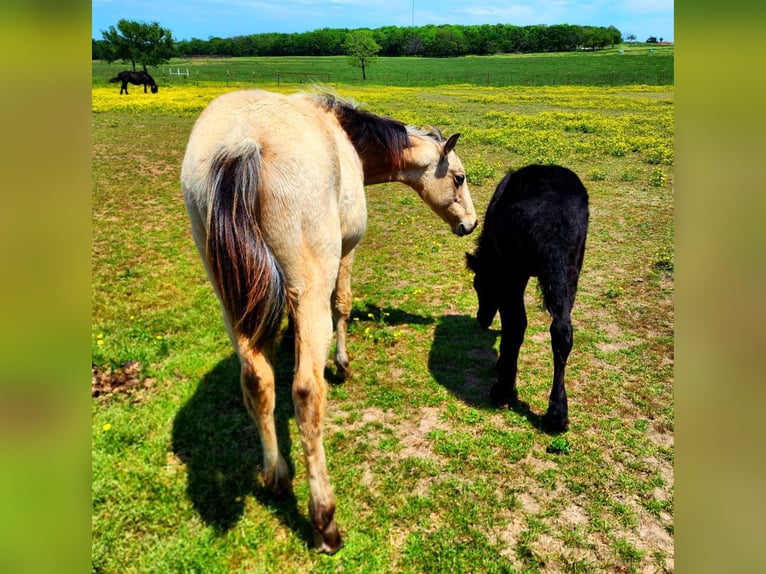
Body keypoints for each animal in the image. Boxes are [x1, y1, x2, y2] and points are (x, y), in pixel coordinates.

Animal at [182, 90, 476, 552]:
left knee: (257, 382)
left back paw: (277, 478)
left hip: (233, 302)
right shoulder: (347, 250)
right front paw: (341, 362)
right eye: (459, 178)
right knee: (306, 393)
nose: (471, 224)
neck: (345, 137)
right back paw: (325, 521)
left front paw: (290, 341)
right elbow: (343, 304)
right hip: (307, 286)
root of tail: (243, 142)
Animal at [464, 164, 592, 434]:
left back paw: (502, 390)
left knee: (517, 324)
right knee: (562, 330)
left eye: (478, 285)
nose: (482, 319)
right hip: (569, 267)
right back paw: (557, 414)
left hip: (514, 271)